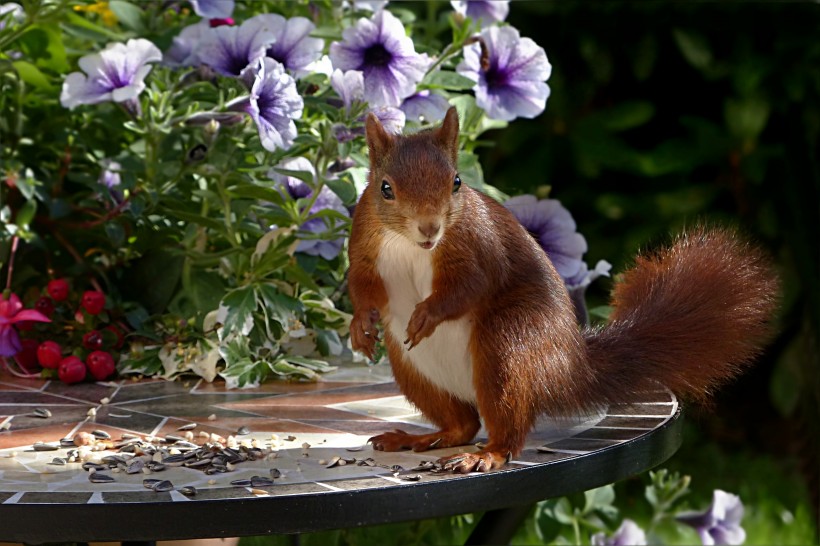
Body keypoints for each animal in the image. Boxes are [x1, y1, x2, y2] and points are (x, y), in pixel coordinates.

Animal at [348, 106, 780, 472]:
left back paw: (485, 455)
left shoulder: (477, 247)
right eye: (385, 188)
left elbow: (469, 286)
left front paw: (427, 314)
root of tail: (567, 369)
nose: (429, 228)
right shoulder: (365, 245)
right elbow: (363, 286)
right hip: (414, 370)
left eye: (456, 182)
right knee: (463, 425)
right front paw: (360, 326)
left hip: (508, 345)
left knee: (505, 426)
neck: (411, 246)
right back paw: (421, 438)